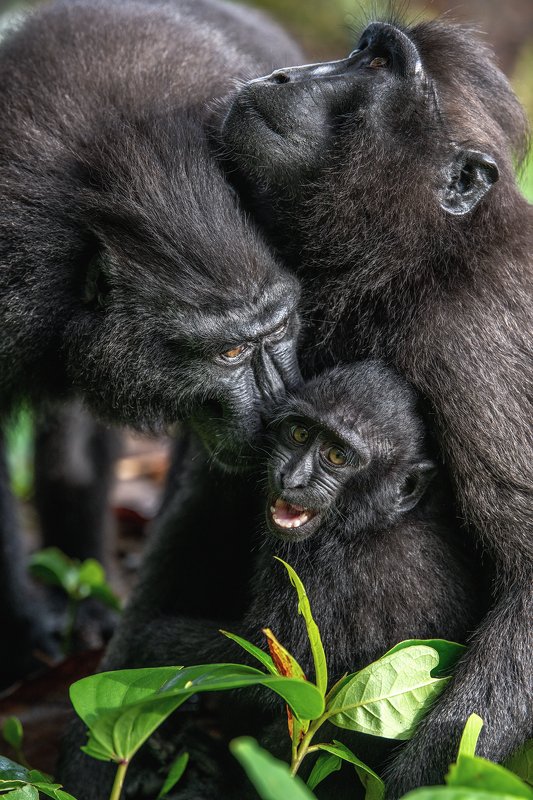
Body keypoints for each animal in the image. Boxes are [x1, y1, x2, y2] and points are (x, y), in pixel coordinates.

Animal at [60, 361, 486, 800]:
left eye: (337, 456)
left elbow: (286, 677)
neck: (374, 525)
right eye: (298, 433)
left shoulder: (316, 571)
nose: (291, 477)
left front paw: (151, 649)